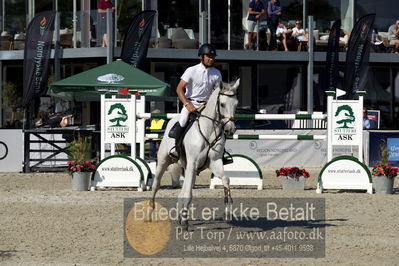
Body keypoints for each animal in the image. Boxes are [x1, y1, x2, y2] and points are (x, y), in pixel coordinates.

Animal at [151, 79, 241, 229]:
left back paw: (180, 214)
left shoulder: (215, 162)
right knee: (156, 184)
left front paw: (228, 212)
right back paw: (150, 210)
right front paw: (184, 222)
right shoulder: (193, 163)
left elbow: (226, 180)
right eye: (222, 104)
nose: (230, 129)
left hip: (187, 167)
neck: (209, 131)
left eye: (236, 104)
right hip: (164, 162)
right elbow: (188, 193)